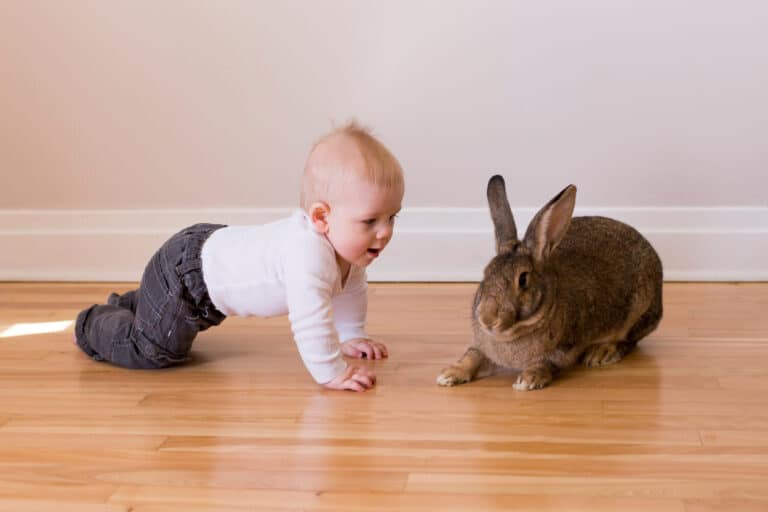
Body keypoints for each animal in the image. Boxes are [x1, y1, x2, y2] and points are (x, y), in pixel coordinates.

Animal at [437, 175, 663, 390]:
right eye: (485, 273)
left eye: (523, 279)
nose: (487, 318)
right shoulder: (483, 349)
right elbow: (472, 356)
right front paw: (449, 374)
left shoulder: (563, 350)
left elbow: (546, 363)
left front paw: (528, 380)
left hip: (639, 311)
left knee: (629, 340)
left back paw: (600, 353)